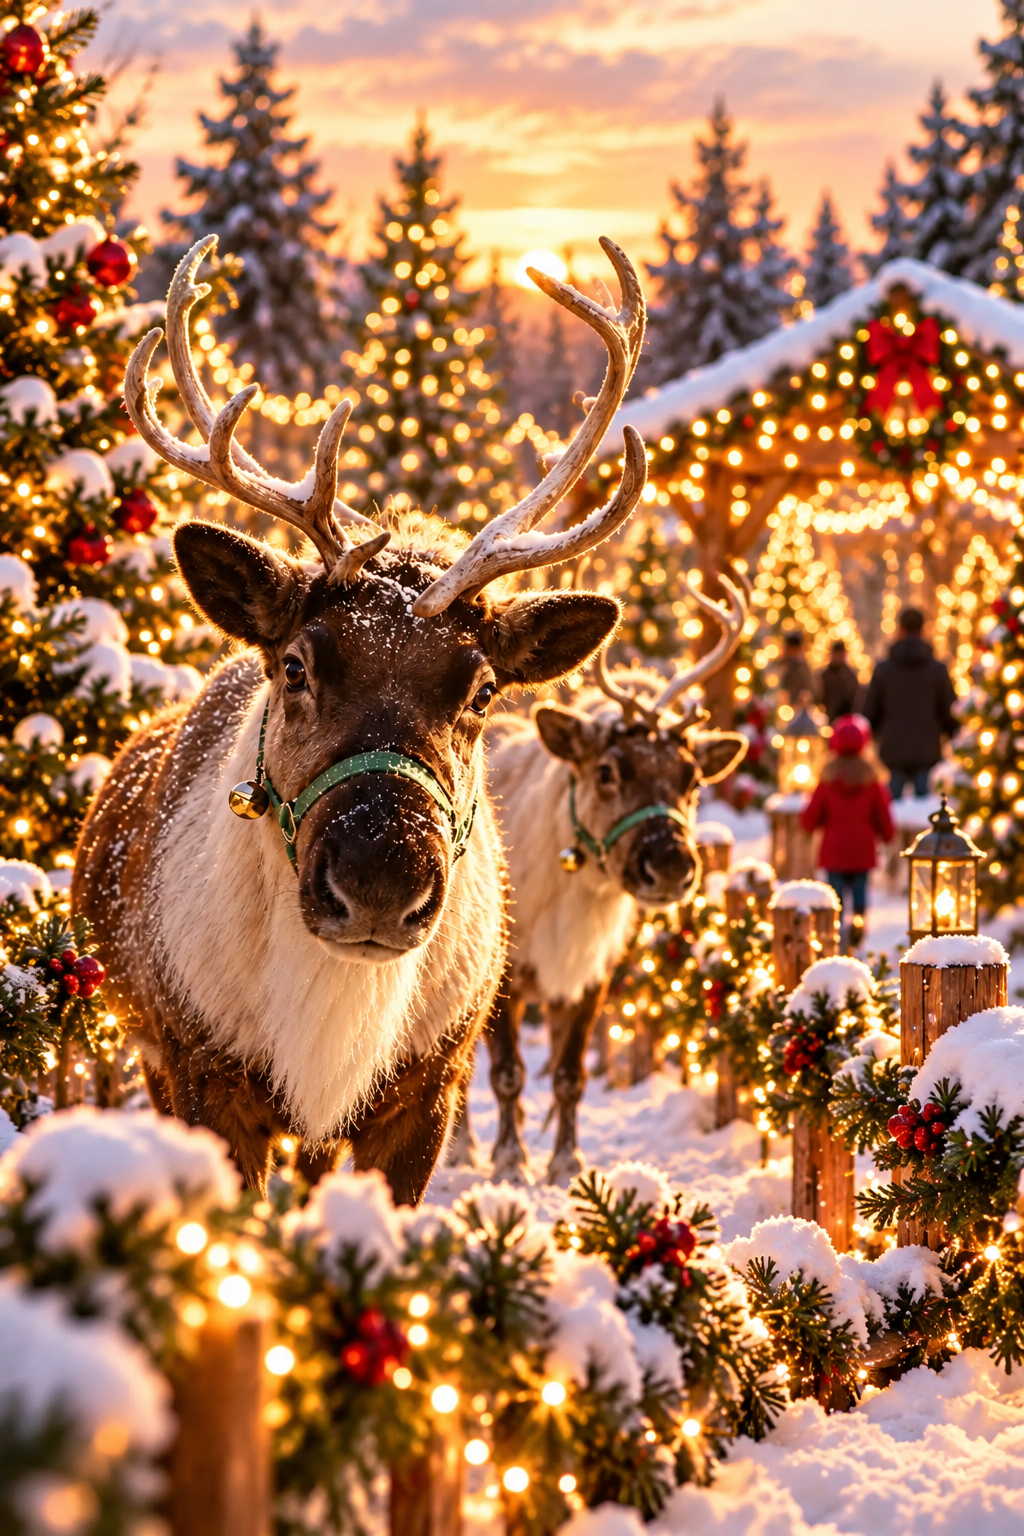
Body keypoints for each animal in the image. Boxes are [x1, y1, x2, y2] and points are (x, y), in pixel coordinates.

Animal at [72, 233, 649, 1203]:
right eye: (296, 666)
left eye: (482, 693)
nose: (380, 882)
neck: (334, 1021)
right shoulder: (205, 1077)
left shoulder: (424, 1094)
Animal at [451, 578, 749, 1185]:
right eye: (608, 771)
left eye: (692, 778)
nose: (671, 864)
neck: (577, 899)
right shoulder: (507, 971)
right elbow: (508, 1074)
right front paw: (510, 1162)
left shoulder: (593, 975)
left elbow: (570, 1077)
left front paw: (566, 1162)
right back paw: (462, 1148)